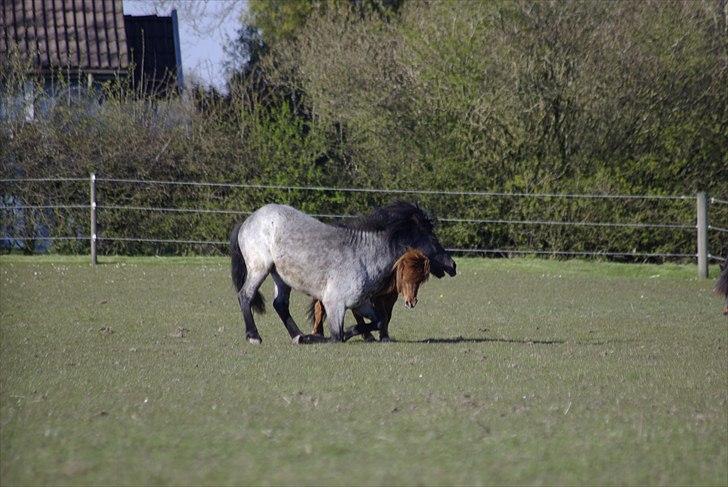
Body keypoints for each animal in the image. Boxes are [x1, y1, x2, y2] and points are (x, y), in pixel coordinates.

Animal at [230, 201, 456, 344]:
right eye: (431, 237)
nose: (452, 265)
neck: (365, 256)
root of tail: (248, 220)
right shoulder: (334, 305)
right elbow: (336, 335)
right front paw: (317, 337)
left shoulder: (360, 303)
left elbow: (378, 321)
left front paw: (352, 333)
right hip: (260, 268)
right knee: (245, 295)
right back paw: (254, 336)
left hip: (280, 276)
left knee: (280, 304)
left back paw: (297, 335)